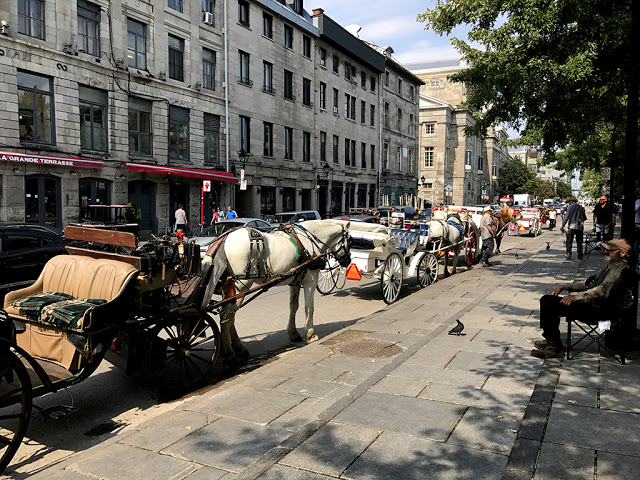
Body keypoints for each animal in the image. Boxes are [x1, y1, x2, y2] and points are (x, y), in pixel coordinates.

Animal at [199, 221, 352, 364]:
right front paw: (310, 333)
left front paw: (293, 333)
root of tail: (225, 238)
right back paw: (230, 354)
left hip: (231, 288)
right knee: (227, 316)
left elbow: (293, 306)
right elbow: (309, 308)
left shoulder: (295, 281)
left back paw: (238, 348)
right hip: (240, 287)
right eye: (350, 241)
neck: (308, 241)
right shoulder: (311, 280)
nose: (348, 260)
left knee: (229, 316)